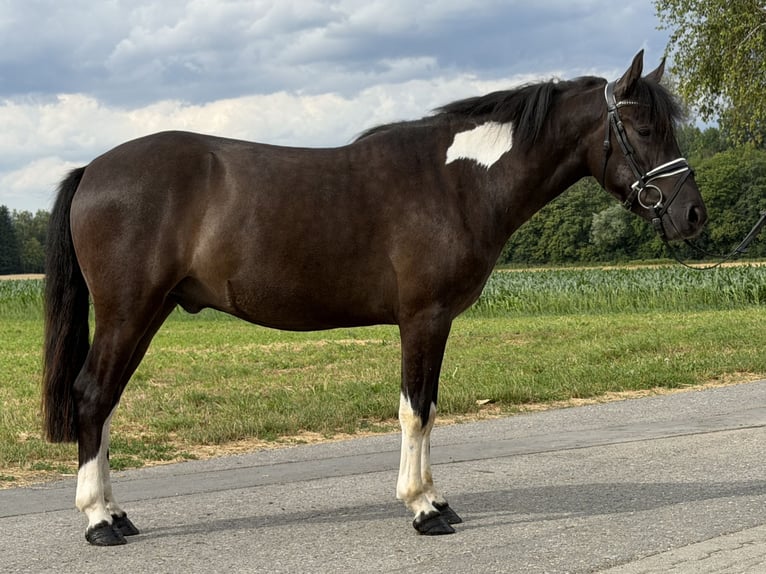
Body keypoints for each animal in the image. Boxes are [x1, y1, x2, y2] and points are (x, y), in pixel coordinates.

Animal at [42, 50, 707, 545]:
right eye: (644, 128)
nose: (693, 216)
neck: (457, 181)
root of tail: (93, 169)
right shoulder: (423, 318)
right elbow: (416, 410)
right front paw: (423, 509)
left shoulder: (434, 323)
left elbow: (429, 407)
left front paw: (436, 497)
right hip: (129, 312)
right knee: (93, 396)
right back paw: (99, 520)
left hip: (147, 313)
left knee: (104, 403)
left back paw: (116, 513)